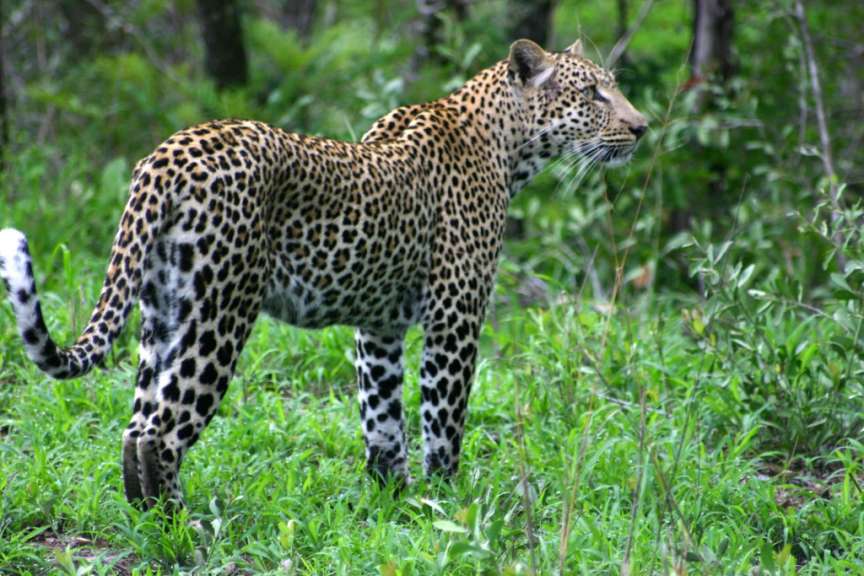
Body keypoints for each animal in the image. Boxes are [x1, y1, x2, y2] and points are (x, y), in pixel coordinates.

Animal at [0, 39, 647, 508]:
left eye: (613, 88)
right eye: (594, 93)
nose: (642, 127)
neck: (510, 147)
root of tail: (167, 153)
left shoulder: (379, 327)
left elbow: (382, 420)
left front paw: (392, 505)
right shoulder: (454, 320)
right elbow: (443, 422)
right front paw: (449, 505)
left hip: (162, 311)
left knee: (137, 425)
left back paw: (149, 519)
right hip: (217, 314)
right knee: (162, 431)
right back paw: (182, 528)